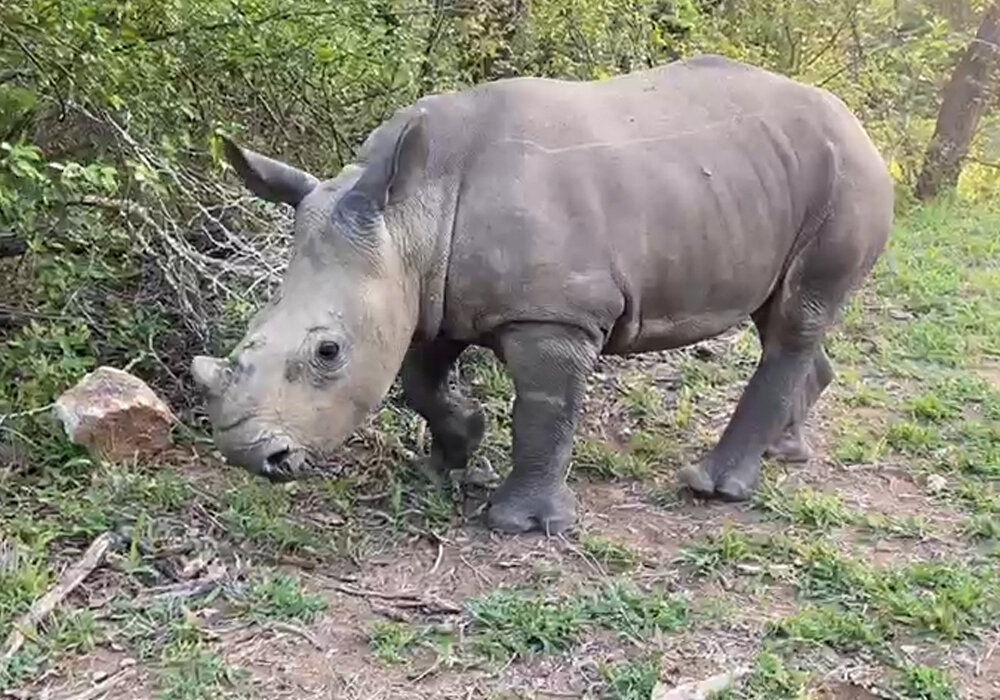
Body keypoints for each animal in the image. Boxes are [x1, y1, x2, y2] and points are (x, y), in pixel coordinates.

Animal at [192, 54, 892, 535]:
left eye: (328, 352)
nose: (251, 455)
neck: (412, 209)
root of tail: (859, 123)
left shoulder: (556, 315)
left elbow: (543, 408)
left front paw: (519, 524)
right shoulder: (432, 292)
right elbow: (419, 381)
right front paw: (453, 456)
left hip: (848, 177)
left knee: (795, 316)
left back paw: (712, 487)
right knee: (785, 316)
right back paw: (784, 451)